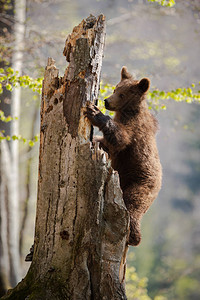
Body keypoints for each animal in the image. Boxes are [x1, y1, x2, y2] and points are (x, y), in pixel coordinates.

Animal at [85, 67, 162, 245]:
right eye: (115, 89)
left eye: (122, 94)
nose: (106, 101)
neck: (128, 111)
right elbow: (108, 144)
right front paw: (95, 139)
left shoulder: (135, 129)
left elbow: (121, 139)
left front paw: (95, 112)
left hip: (141, 183)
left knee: (134, 205)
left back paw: (134, 236)